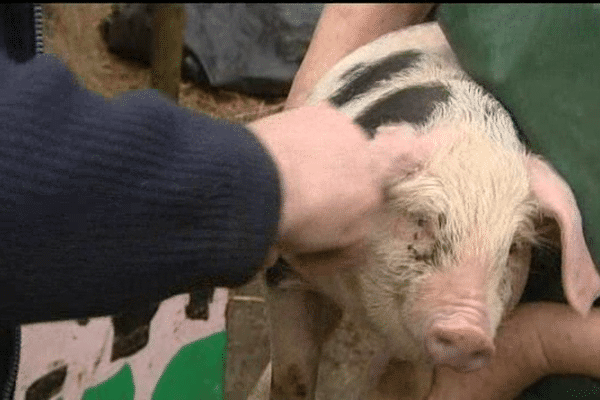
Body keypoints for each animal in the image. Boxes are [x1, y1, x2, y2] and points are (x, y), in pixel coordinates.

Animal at [258, 21, 600, 400]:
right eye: (420, 219)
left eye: (513, 247)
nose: (468, 334)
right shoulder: (286, 272)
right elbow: (292, 374)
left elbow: (401, 381)